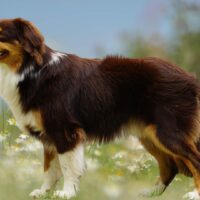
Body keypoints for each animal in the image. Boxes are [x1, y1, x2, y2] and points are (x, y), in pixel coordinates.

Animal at [0, 18, 200, 199]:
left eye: (2, 33)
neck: (31, 71)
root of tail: (191, 78)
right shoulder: (49, 135)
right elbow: (49, 168)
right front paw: (43, 192)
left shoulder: (64, 130)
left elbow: (67, 166)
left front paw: (66, 193)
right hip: (149, 134)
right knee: (169, 165)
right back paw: (150, 193)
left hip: (168, 132)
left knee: (194, 160)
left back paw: (193, 194)